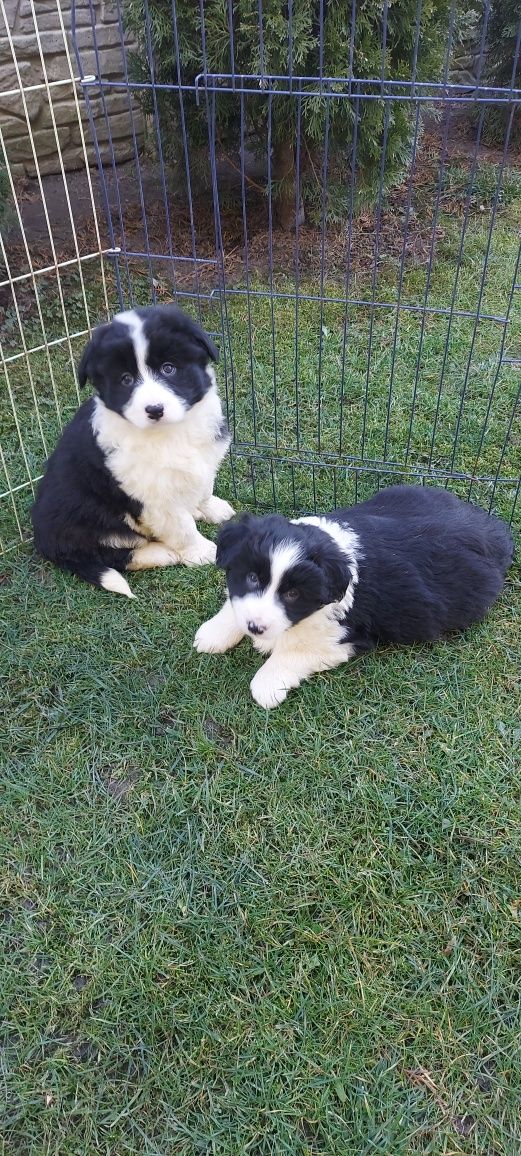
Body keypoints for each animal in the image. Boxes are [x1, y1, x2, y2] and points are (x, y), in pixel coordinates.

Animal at [31, 305, 235, 596]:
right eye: (126, 380)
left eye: (168, 369)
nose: (154, 410)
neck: (168, 434)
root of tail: (43, 541)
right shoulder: (150, 495)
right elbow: (181, 527)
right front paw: (202, 551)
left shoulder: (204, 457)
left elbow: (204, 488)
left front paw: (212, 509)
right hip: (89, 524)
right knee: (115, 556)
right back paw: (163, 553)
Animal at [192, 485, 512, 707]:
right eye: (252, 578)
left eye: (293, 593)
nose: (255, 628)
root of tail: (494, 530)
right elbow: (235, 603)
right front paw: (214, 632)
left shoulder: (344, 636)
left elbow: (295, 650)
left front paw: (267, 684)